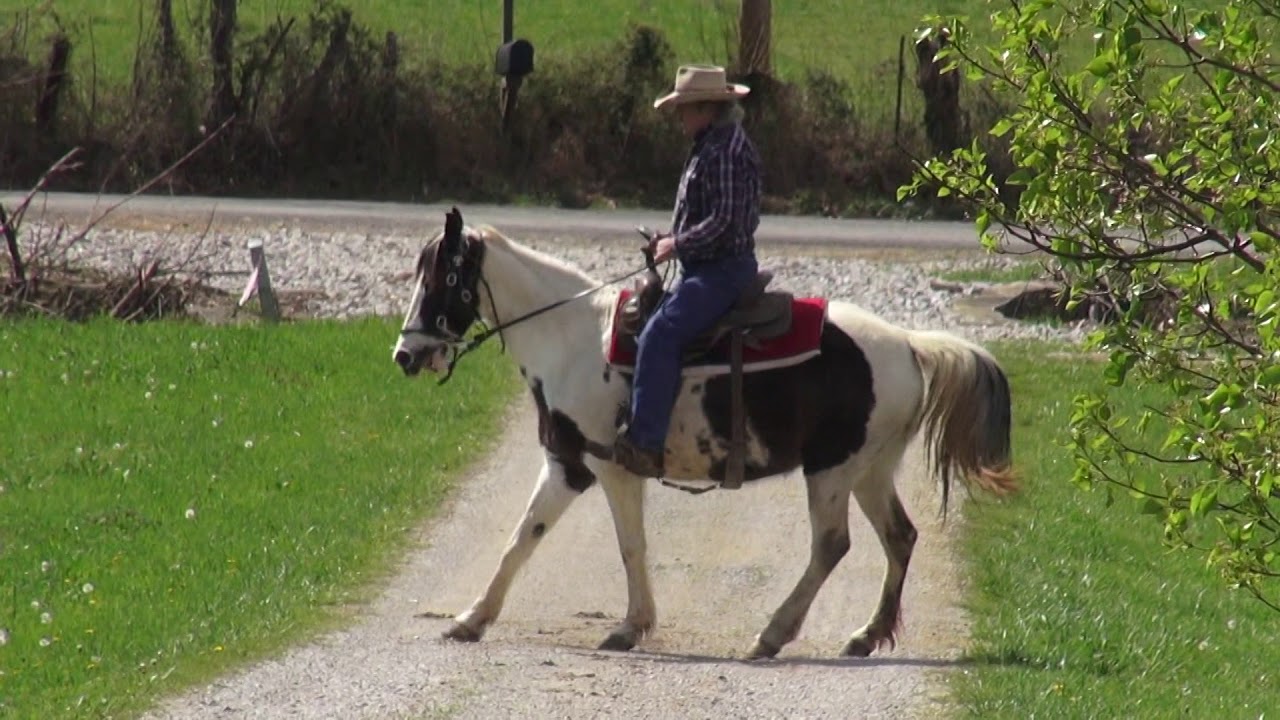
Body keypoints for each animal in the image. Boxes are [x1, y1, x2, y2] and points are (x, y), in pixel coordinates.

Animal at [391, 207, 1017, 659]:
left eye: (443, 276)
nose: (404, 355)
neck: (570, 338)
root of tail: (909, 344)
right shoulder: (565, 465)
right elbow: (523, 538)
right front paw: (472, 619)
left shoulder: (612, 468)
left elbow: (630, 544)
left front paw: (630, 628)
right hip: (870, 469)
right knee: (899, 538)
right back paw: (865, 636)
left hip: (832, 469)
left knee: (832, 544)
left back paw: (772, 635)